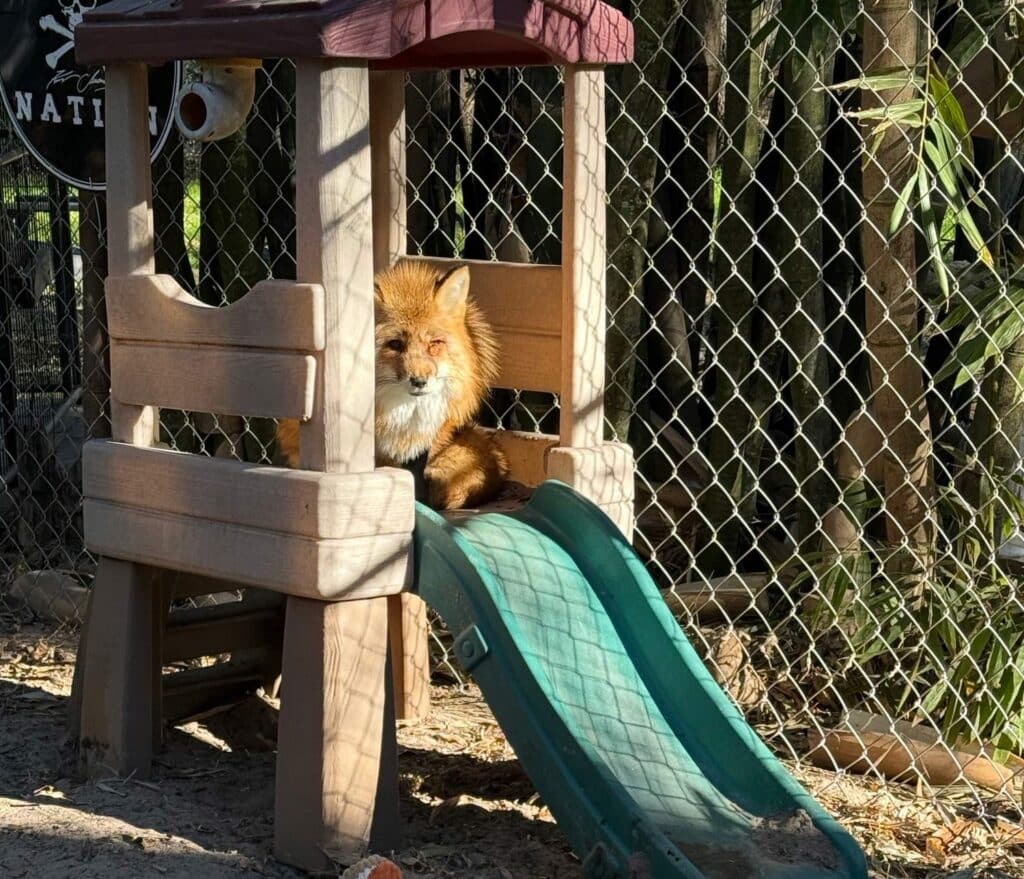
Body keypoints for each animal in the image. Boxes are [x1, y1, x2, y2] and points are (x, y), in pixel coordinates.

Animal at [276, 261, 508, 510]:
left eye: (434, 344)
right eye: (395, 344)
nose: (419, 381)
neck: (404, 416)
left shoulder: (423, 448)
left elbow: (418, 484)